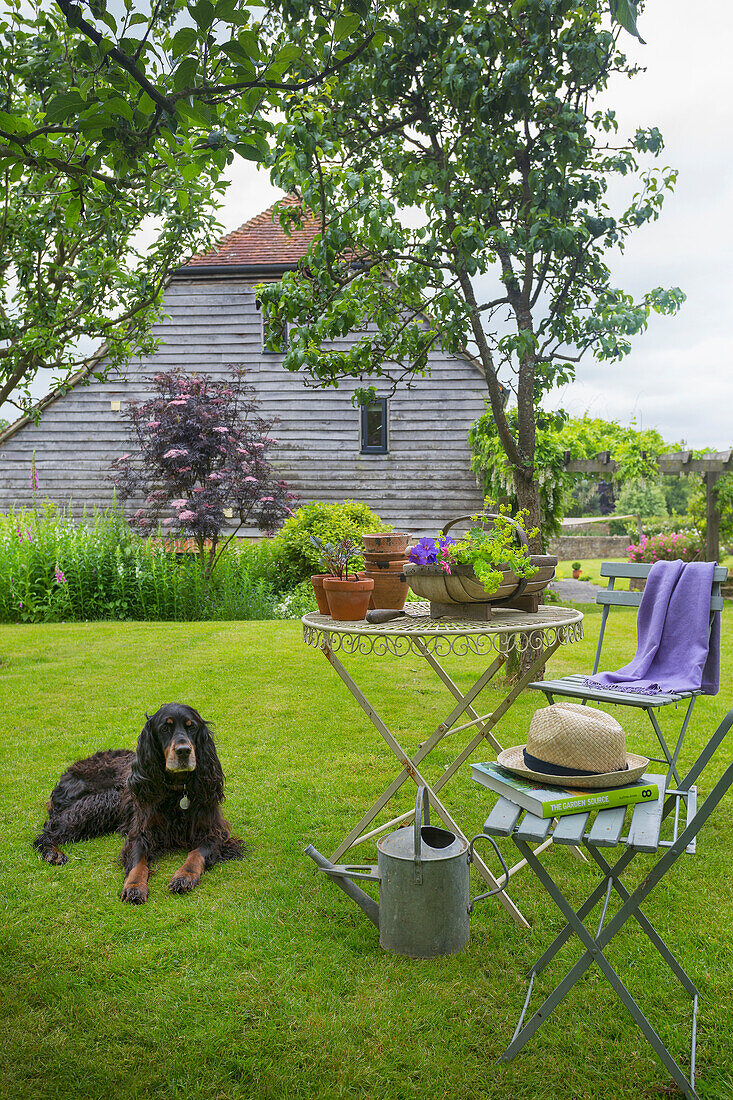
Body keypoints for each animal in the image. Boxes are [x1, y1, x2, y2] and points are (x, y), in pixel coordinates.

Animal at [33, 704, 242, 902]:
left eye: (192, 727)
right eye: (164, 729)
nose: (184, 751)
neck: (177, 791)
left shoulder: (213, 831)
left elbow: (196, 854)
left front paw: (184, 876)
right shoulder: (141, 831)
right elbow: (138, 860)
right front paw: (134, 886)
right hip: (107, 799)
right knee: (48, 831)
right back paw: (52, 852)